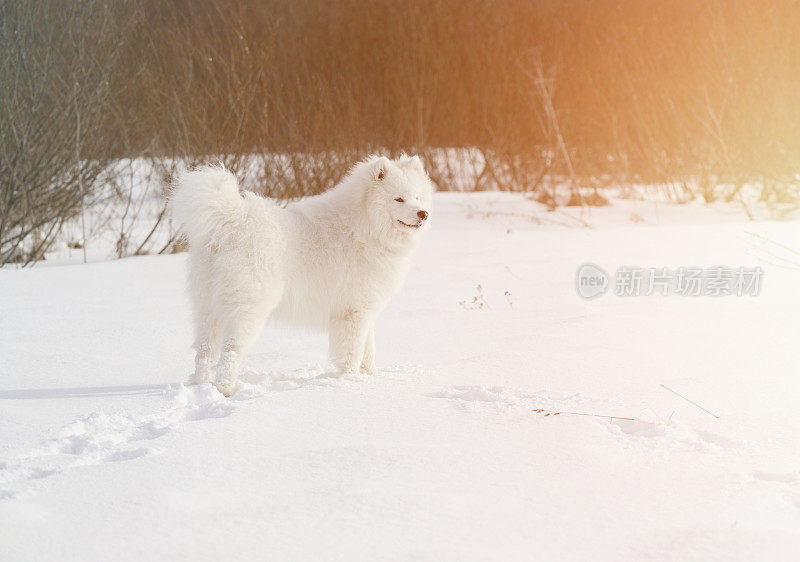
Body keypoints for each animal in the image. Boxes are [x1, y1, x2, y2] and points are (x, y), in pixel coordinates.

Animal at [168, 153, 432, 394]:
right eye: (399, 199)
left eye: (418, 197)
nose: (423, 213)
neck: (365, 227)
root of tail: (230, 219)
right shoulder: (352, 313)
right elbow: (353, 352)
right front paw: (350, 380)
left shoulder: (366, 310)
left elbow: (369, 349)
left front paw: (371, 376)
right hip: (248, 309)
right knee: (230, 351)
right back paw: (226, 388)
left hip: (207, 309)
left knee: (204, 352)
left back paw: (201, 386)